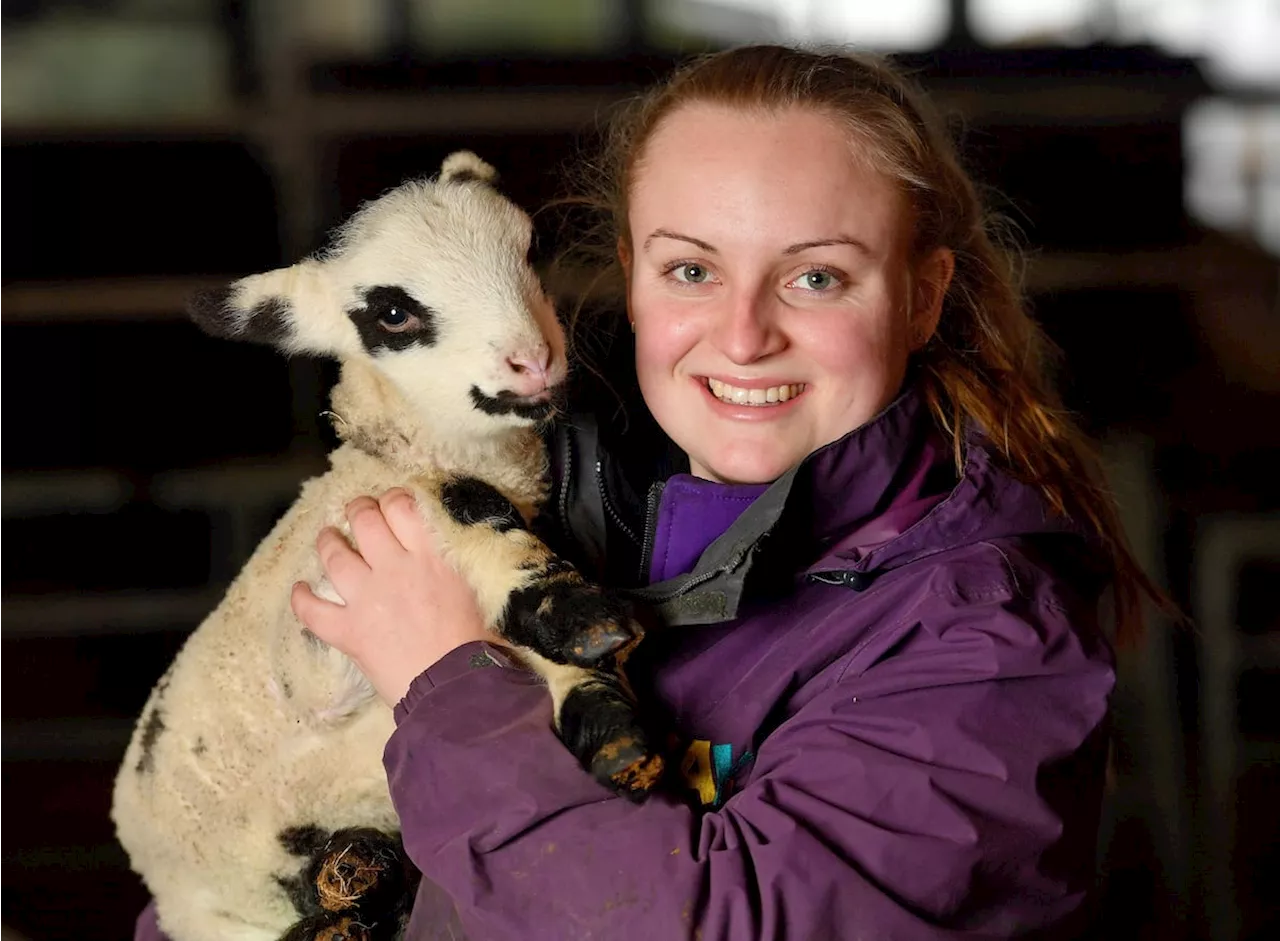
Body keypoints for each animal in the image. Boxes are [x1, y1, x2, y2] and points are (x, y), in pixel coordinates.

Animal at [112, 152, 660, 941]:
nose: (531, 360)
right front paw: (575, 614)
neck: (391, 457)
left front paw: (608, 726)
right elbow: (457, 506)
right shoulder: (308, 646)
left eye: (529, 251)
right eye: (393, 313)